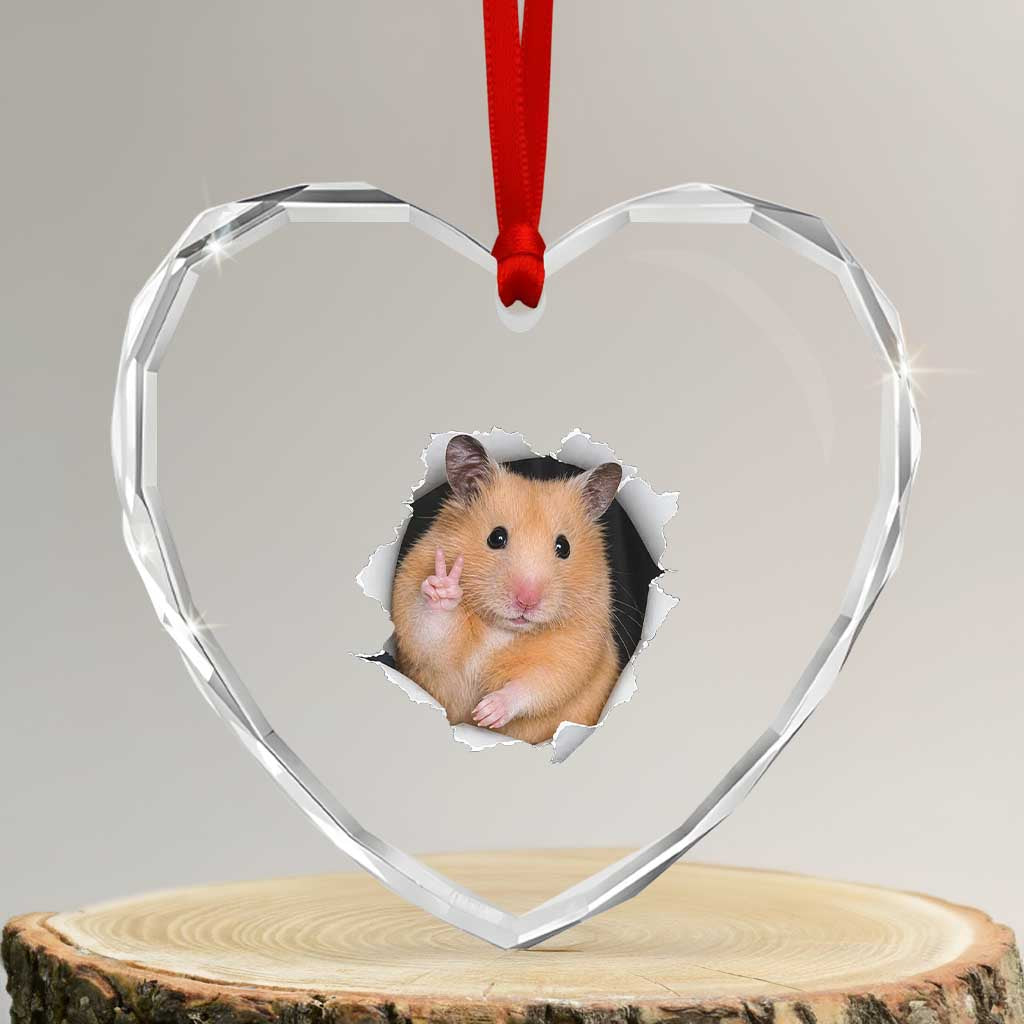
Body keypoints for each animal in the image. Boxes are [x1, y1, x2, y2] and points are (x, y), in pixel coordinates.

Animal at [391, 434, 623, 745]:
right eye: (496, 537)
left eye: (564, 547)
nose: (527, 602)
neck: (501, 629)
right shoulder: (420, 635)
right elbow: (431, 635)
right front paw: (445, 584)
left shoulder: (578, 645)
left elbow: (541, 681)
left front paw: (486, 713)